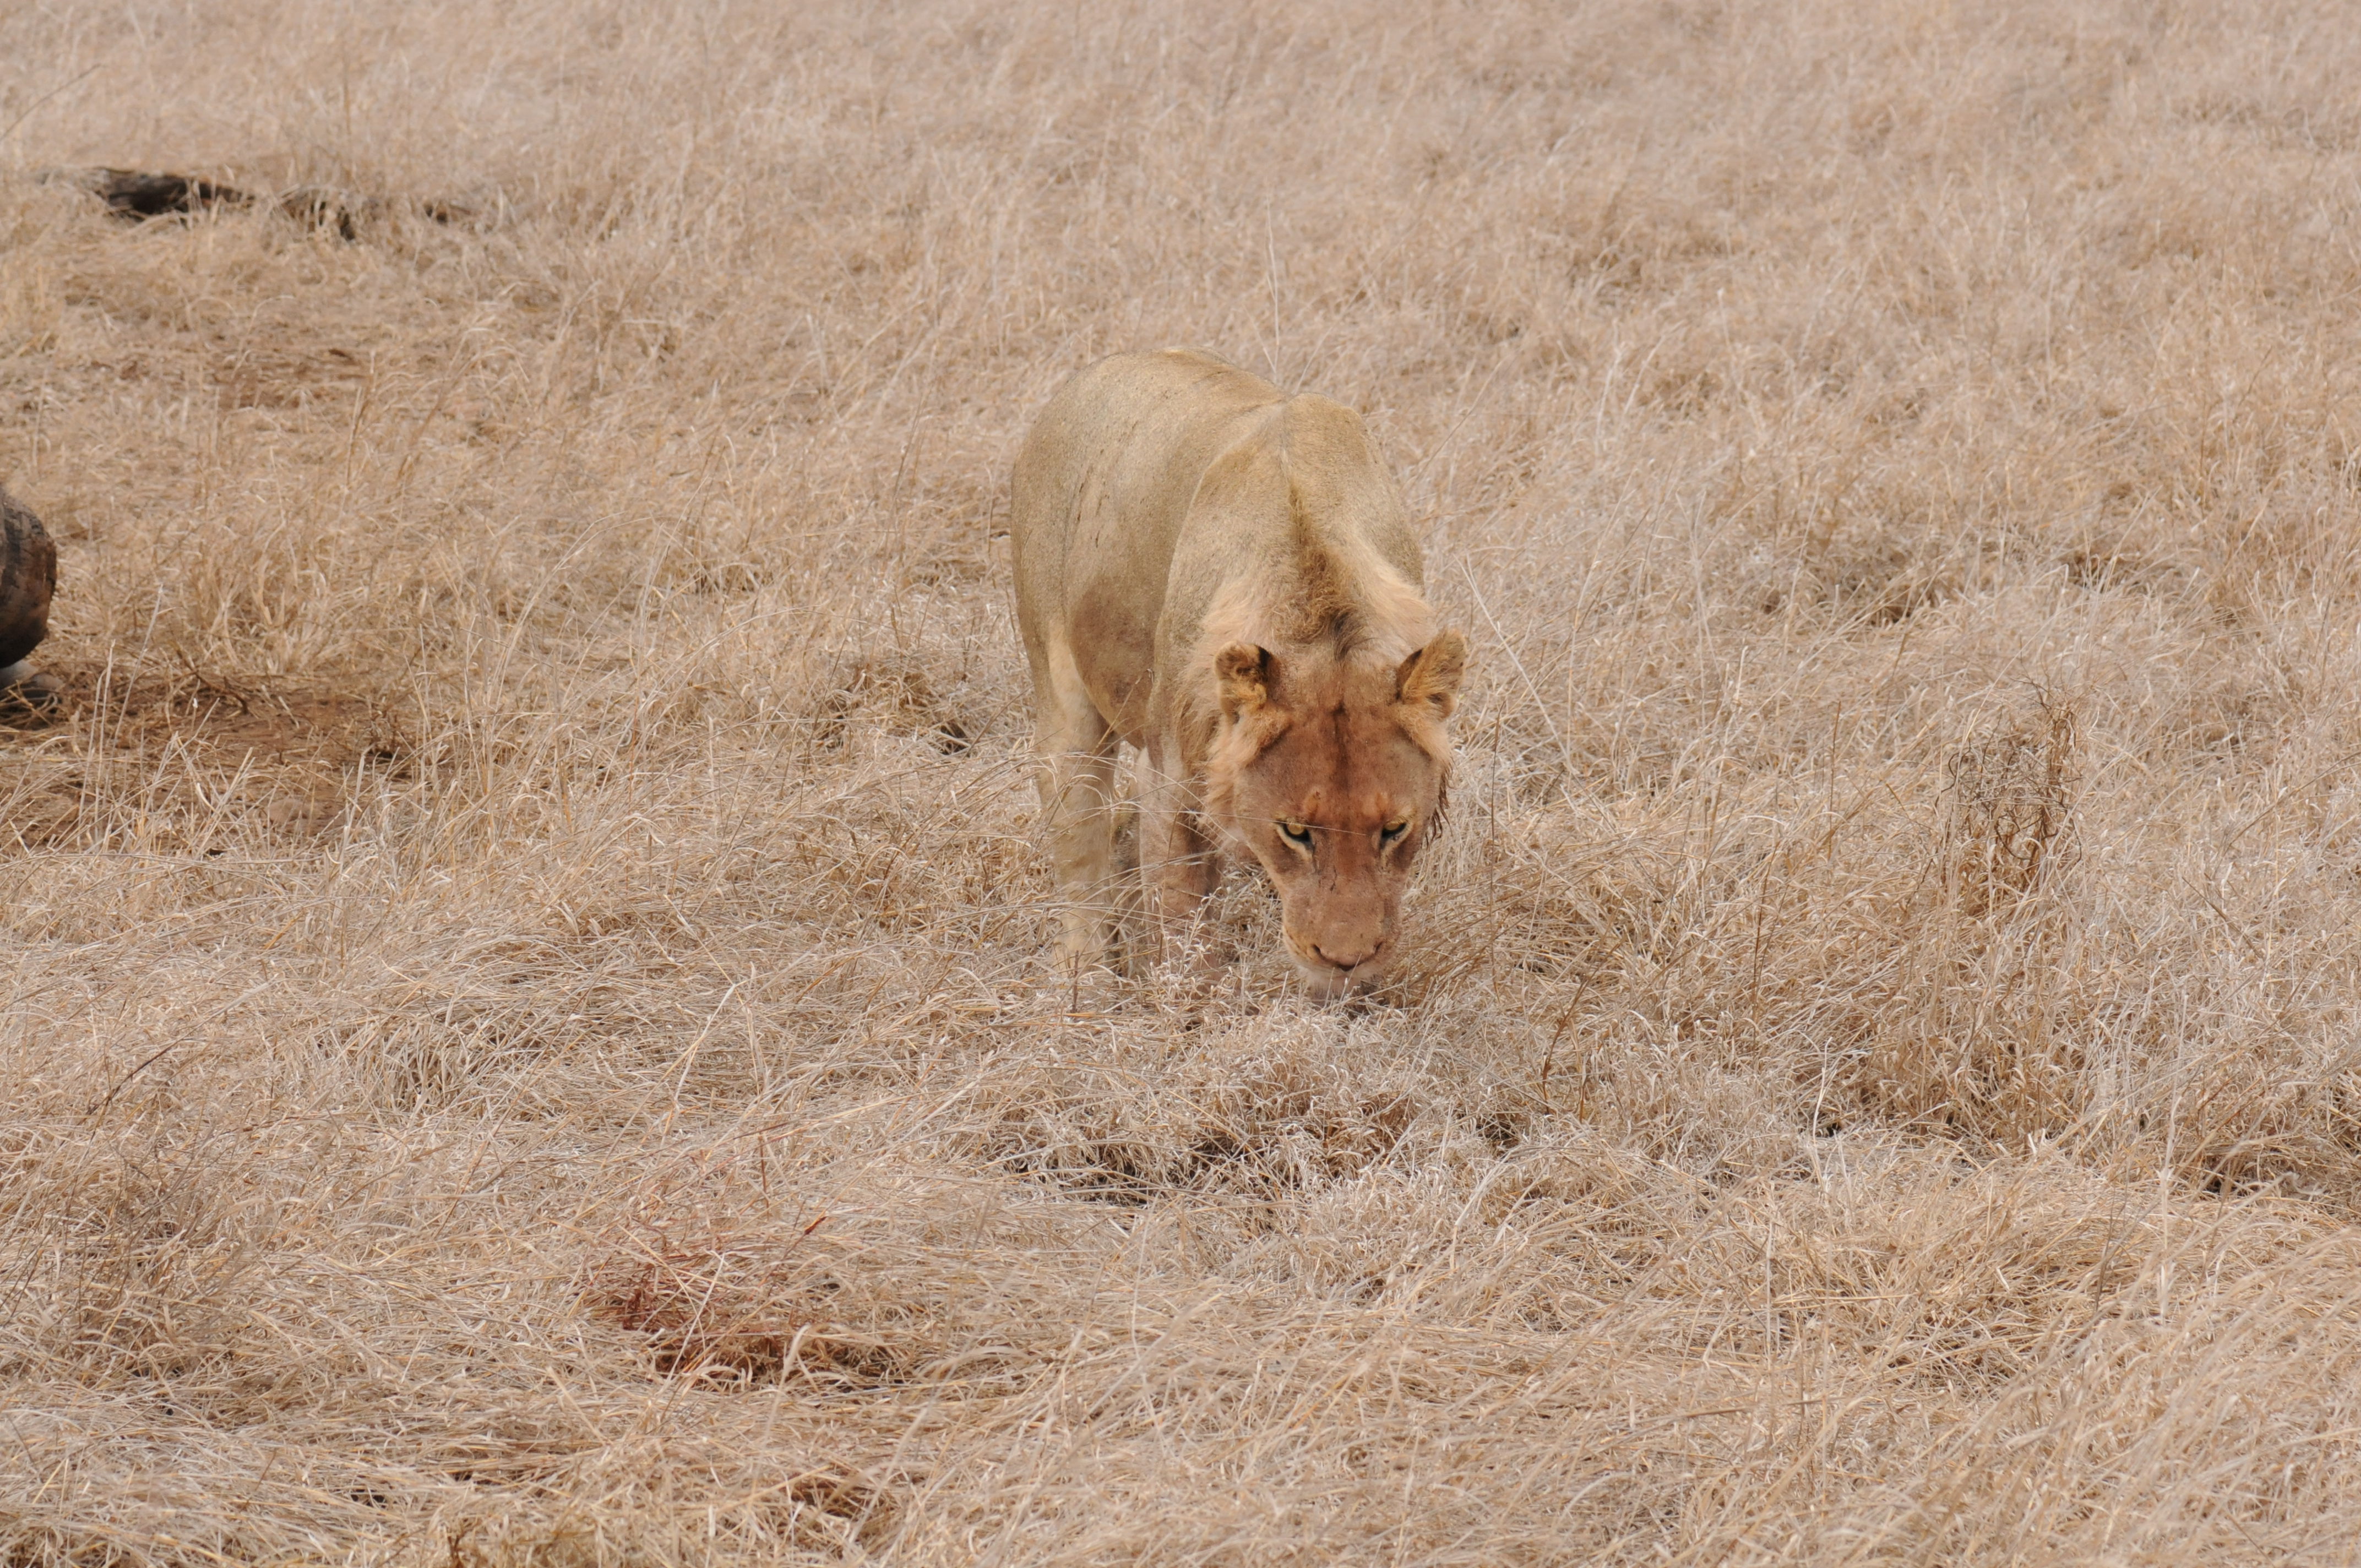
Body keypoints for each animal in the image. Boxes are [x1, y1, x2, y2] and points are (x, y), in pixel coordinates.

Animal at [1011, 348, 1469, 997]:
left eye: (1394, 830)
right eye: (1295, 831)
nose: (1344, 960)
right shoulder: (1172, 775)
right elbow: (1180, 913)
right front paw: (1190, 1004)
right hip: (1062, 707)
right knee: (1081, 852)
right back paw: (1086, 980)